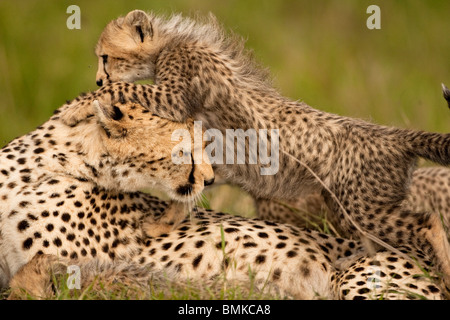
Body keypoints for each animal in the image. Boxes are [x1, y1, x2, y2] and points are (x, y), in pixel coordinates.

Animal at [60, 10, 450, 292]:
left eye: (105, 57)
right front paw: (161, 224)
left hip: (362, 206)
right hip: (349, 207)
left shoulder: (172, 95)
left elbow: (124, 90)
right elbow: (191, 188)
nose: (98, 76)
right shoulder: (218, 157)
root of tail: (393, 135)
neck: (171, 43)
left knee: (428, 223)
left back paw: (443, 272)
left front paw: (79, 106)